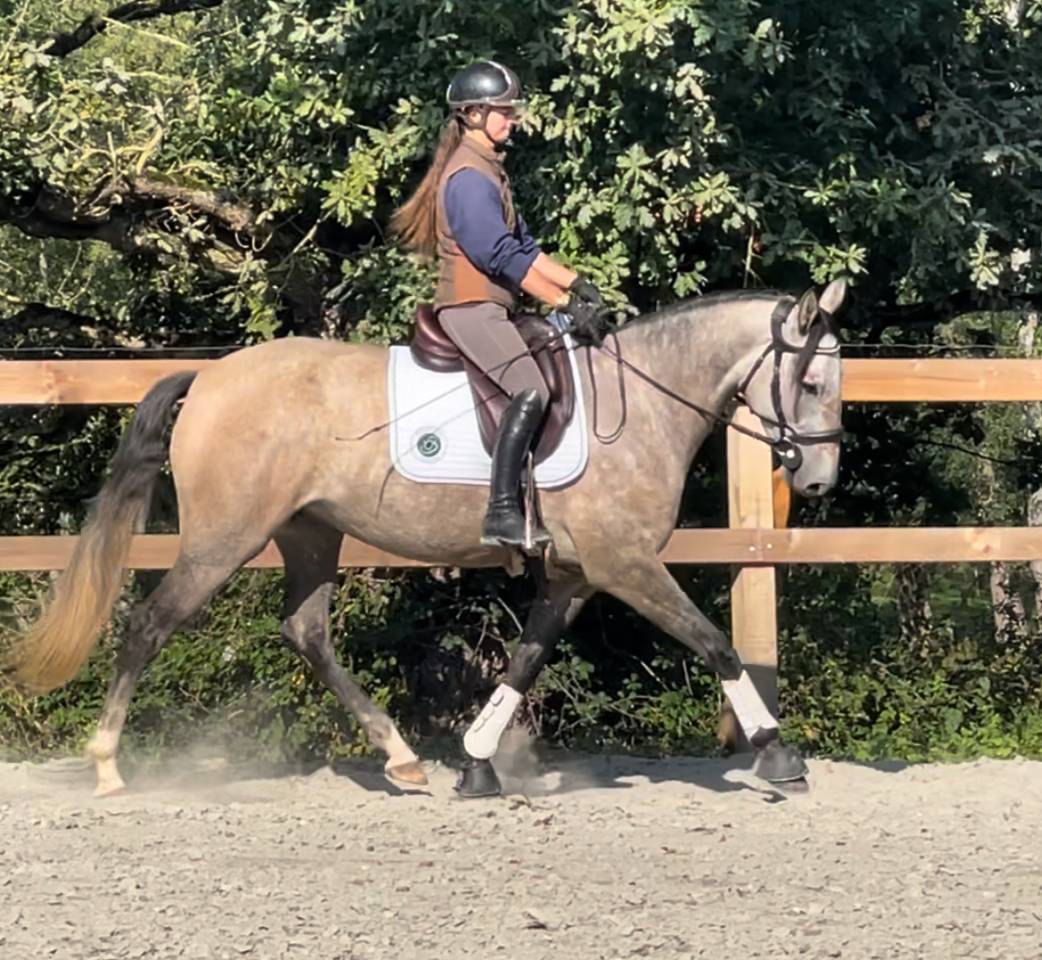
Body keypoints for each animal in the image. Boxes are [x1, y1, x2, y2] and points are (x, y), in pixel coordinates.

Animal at [4, 279, 846, 797]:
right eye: (810, 382)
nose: (817, 482)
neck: (641, 404)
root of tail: (208, 378)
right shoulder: (626, 564)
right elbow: (715, 643)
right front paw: (779, 753)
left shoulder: (574, 574)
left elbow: (524, 660)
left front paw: (476, 765)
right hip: (225, 538)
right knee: (150, 623)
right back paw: (107, 765)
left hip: (311, 534)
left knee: (305, 631)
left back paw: (403, 758)